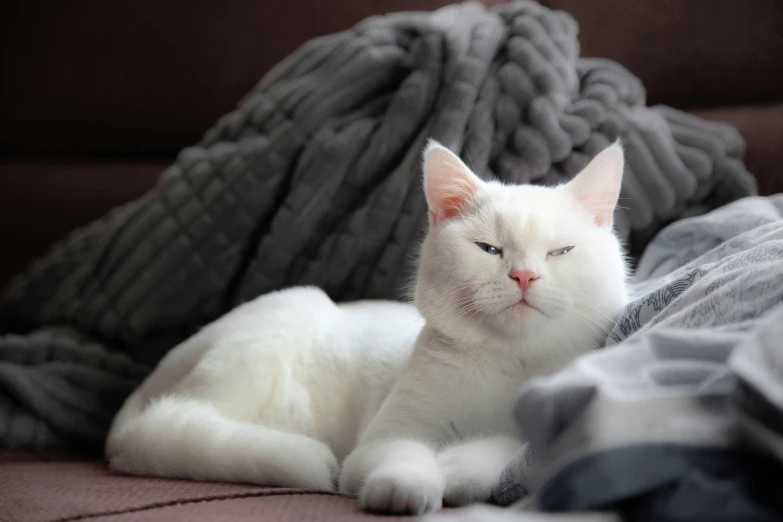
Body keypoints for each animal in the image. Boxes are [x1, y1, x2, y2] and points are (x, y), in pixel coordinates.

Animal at [104, 138, 632, 512]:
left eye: (560, 251)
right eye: (489, 250)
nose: (524, 275)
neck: (507, 361)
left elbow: (500, 448)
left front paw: (457, 468)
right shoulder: (385, 436)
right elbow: (399, 455)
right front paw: (406, 487)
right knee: (183, 421)